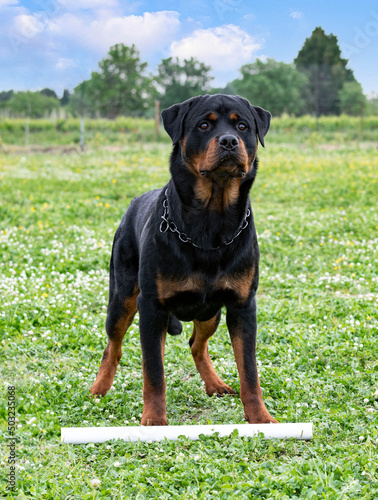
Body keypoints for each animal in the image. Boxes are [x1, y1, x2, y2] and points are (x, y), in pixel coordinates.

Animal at [91, 94, 278, 426]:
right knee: (114, 346)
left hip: (211, 312)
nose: (229, 141)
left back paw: (215, 383)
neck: (211, 223)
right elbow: (153, 370)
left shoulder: (242, 305)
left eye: (242, 126)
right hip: (123, 297)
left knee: (196, 344)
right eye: (204, 125)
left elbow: (249, 369)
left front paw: (260, 418)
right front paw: (154, 420)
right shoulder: (151, 306)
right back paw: (99, 388)